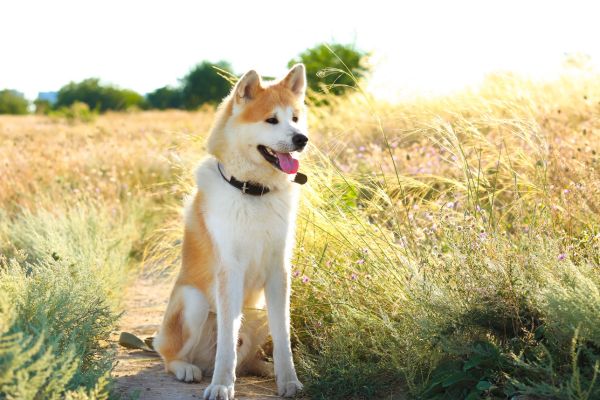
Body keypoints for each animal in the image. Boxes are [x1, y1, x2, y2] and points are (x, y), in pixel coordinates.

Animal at [154, 64, 310, 398]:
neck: (254, 192)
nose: (302, 139)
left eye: (294, 118)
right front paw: (222, 385)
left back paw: (264, 369)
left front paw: (289, 380)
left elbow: (282, 336)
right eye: (271, 120)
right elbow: (227, 341)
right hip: (194, 302)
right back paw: (188, 369)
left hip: (258, 311)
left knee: (248, 359)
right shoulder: (229, 271)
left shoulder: (279, 272)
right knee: (170, 356)